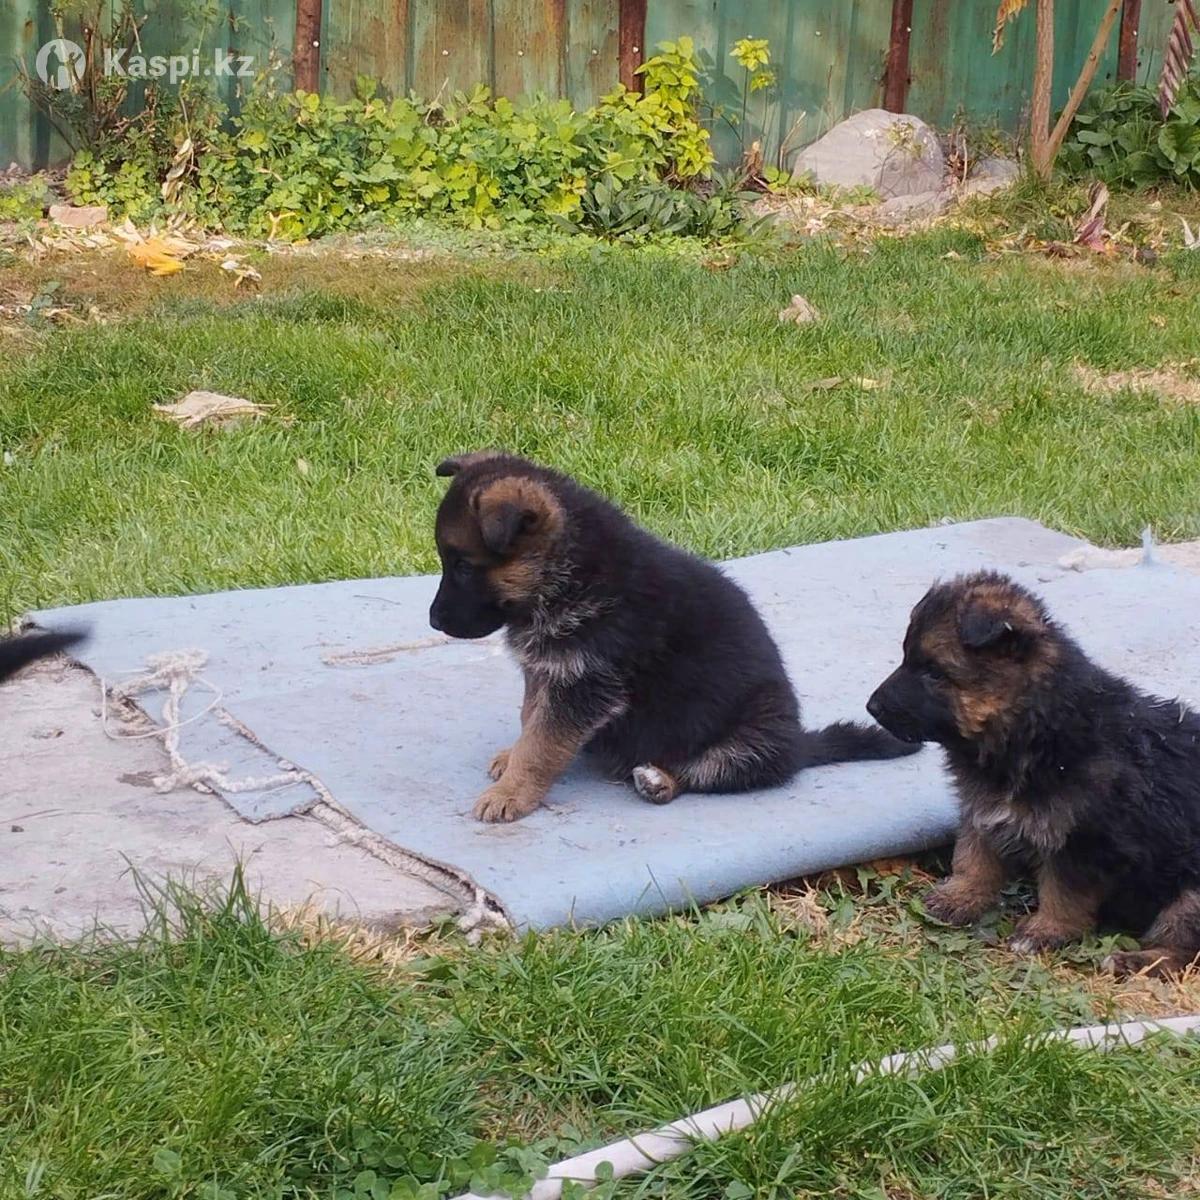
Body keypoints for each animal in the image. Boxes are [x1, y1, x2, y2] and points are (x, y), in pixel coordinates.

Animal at [430, 451, 918, 823]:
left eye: (463, 566)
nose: (433, 622)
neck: (567, 571)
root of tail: (800, 743)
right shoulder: (546, 672)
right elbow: (531, 718)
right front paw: (513, 758)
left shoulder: (585, 684)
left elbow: (543, 742)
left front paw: (513, 792)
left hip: (753, 733)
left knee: (715, 771)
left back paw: (660, 780)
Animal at [867, 570, 1200, 978]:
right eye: (905, 657)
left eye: (933, 672)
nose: (871, 706)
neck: (1035, 727)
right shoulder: (983, 809)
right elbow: (973, 856)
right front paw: (959, 896)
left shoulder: (1085, 839)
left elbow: (1064, 892)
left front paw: (1045, 930)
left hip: (1191, 894)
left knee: (1181, 951)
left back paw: (1130, 960)